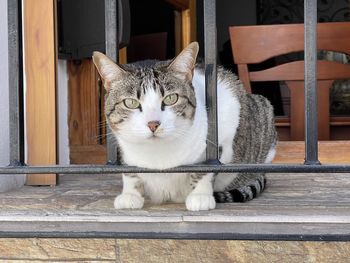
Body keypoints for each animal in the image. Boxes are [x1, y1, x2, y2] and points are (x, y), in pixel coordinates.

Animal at [91, 43, 278, 212]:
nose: (153, 123)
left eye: (170, 98)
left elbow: (205, 169)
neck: (157, 155)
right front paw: (131, 194)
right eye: (130, 102)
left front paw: (200, 196)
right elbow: (129, 172)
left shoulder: (221, 135)